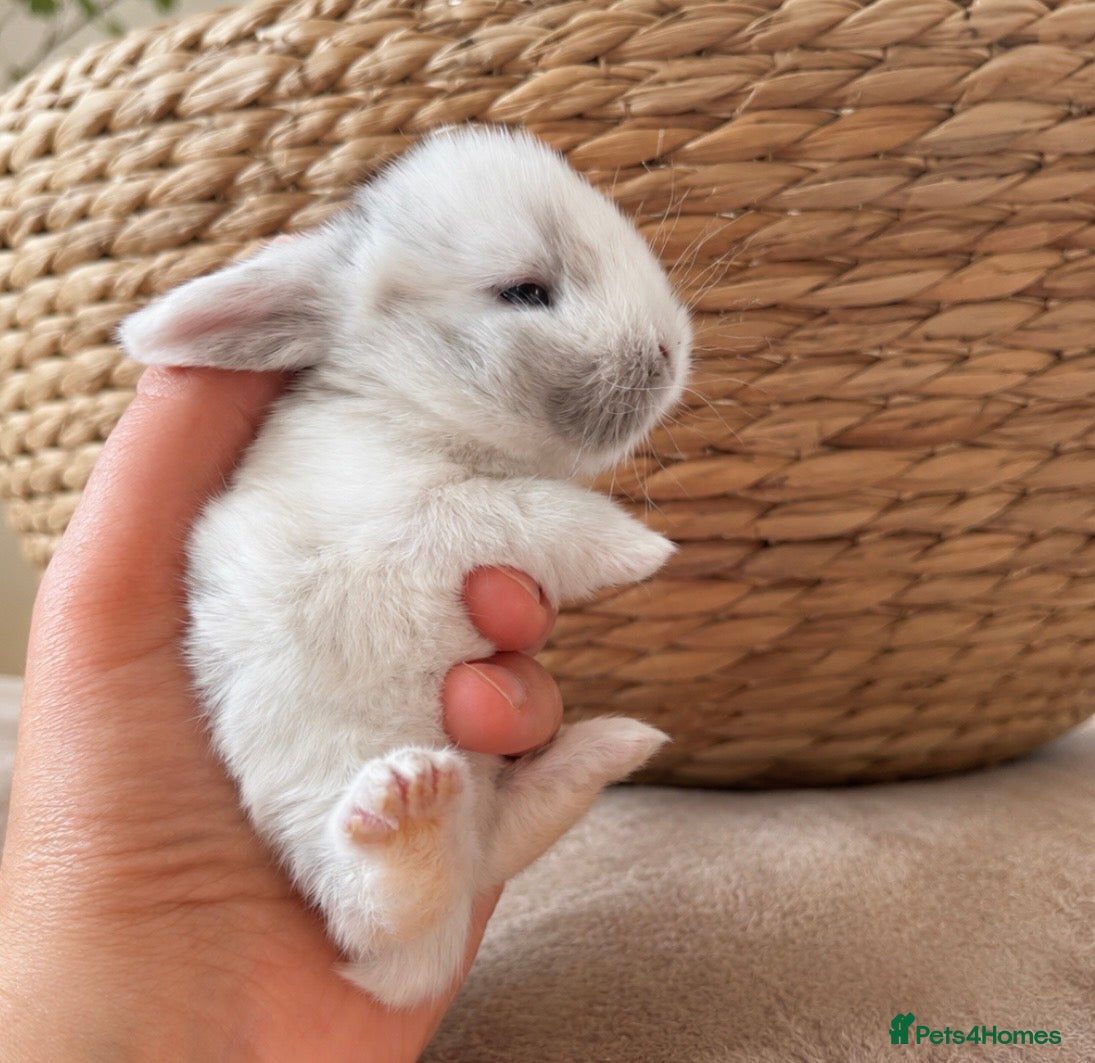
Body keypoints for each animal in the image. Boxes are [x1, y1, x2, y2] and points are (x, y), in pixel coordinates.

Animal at [118, 125, 692, 1008]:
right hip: (324, 801)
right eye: (525, 291)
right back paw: (411, 807)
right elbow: (513, 512)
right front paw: (634, 547)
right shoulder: (412, 521)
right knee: (380, 909)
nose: (671, 350)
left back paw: (609, 746)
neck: (408, 406)